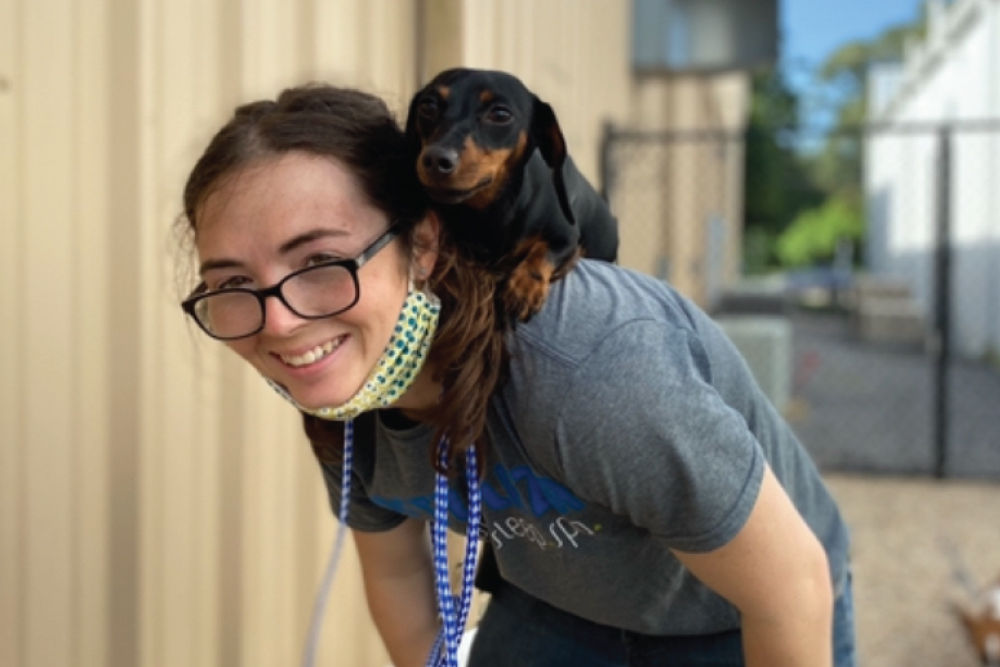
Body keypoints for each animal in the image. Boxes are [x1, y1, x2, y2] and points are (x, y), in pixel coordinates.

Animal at [406, 69, 616, 320]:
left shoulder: (566, 236)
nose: (436, 159)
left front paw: (525, 287)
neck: (490, 213)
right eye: (428, 105)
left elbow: (545, 251)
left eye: (500, 114)